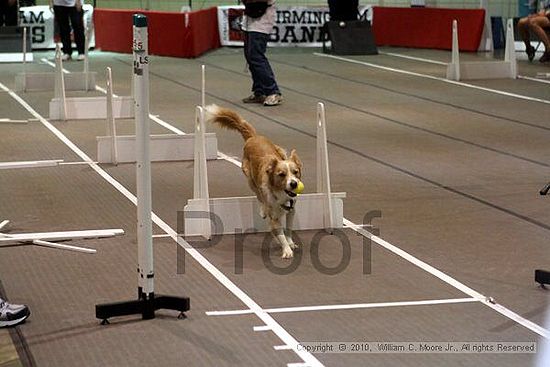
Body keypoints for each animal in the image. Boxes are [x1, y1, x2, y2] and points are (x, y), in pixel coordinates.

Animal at [205, 104, 304, 258]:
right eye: (281, 174)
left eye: (295, 172)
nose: (293, 183)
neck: (280, 193)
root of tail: (253, 137)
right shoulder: (274, 216)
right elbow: (279, 232)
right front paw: (286, 249)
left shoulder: (291, 211)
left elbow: (288, 229)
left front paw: (290, 243)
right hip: (250, 178)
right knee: (258, 195)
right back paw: (262, 211)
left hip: (280, 151)